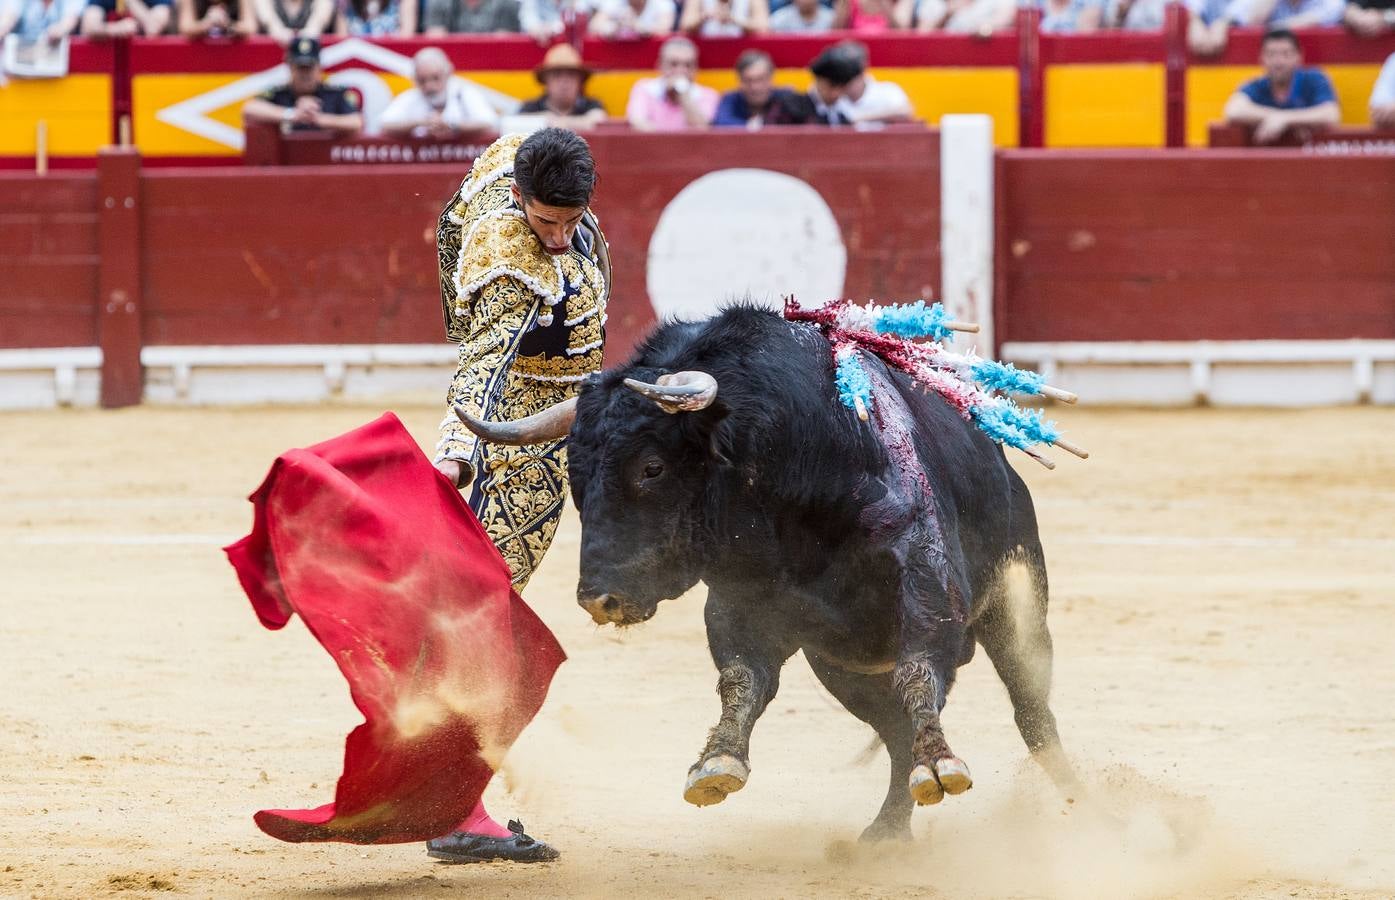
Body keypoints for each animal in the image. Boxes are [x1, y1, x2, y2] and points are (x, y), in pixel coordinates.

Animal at [457, 305, 1076, 837]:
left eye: (651, 467)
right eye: (574, 473)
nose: (598, 600)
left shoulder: (925, 571)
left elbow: (920, 666)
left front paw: (941, 764)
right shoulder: (739, 598)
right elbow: (742, 677)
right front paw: (716, 764)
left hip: (1016, 608)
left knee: (1032, 711)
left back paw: (1080, 807)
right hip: (843, 668)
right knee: (894, 733)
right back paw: (886, 833)